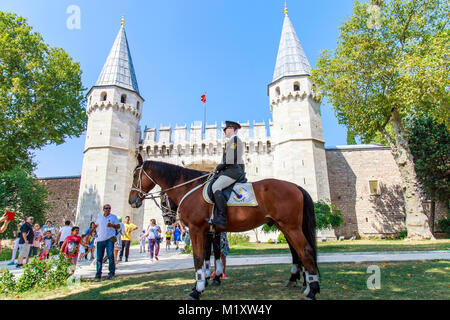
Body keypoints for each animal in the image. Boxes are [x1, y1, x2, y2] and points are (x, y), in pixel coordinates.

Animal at [128, 155, 322, 300]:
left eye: (135, 175)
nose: (131, 200)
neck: (190, 187)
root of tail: (295, 186)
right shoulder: (208, 231)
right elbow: (208, 256)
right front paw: (204, 282)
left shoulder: (196, 230)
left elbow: (199, 258)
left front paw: (198, 289)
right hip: (287, 227)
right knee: (298, 252)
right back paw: (304, 284)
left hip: (291, 227)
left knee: (305, 251)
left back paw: (311, 290)